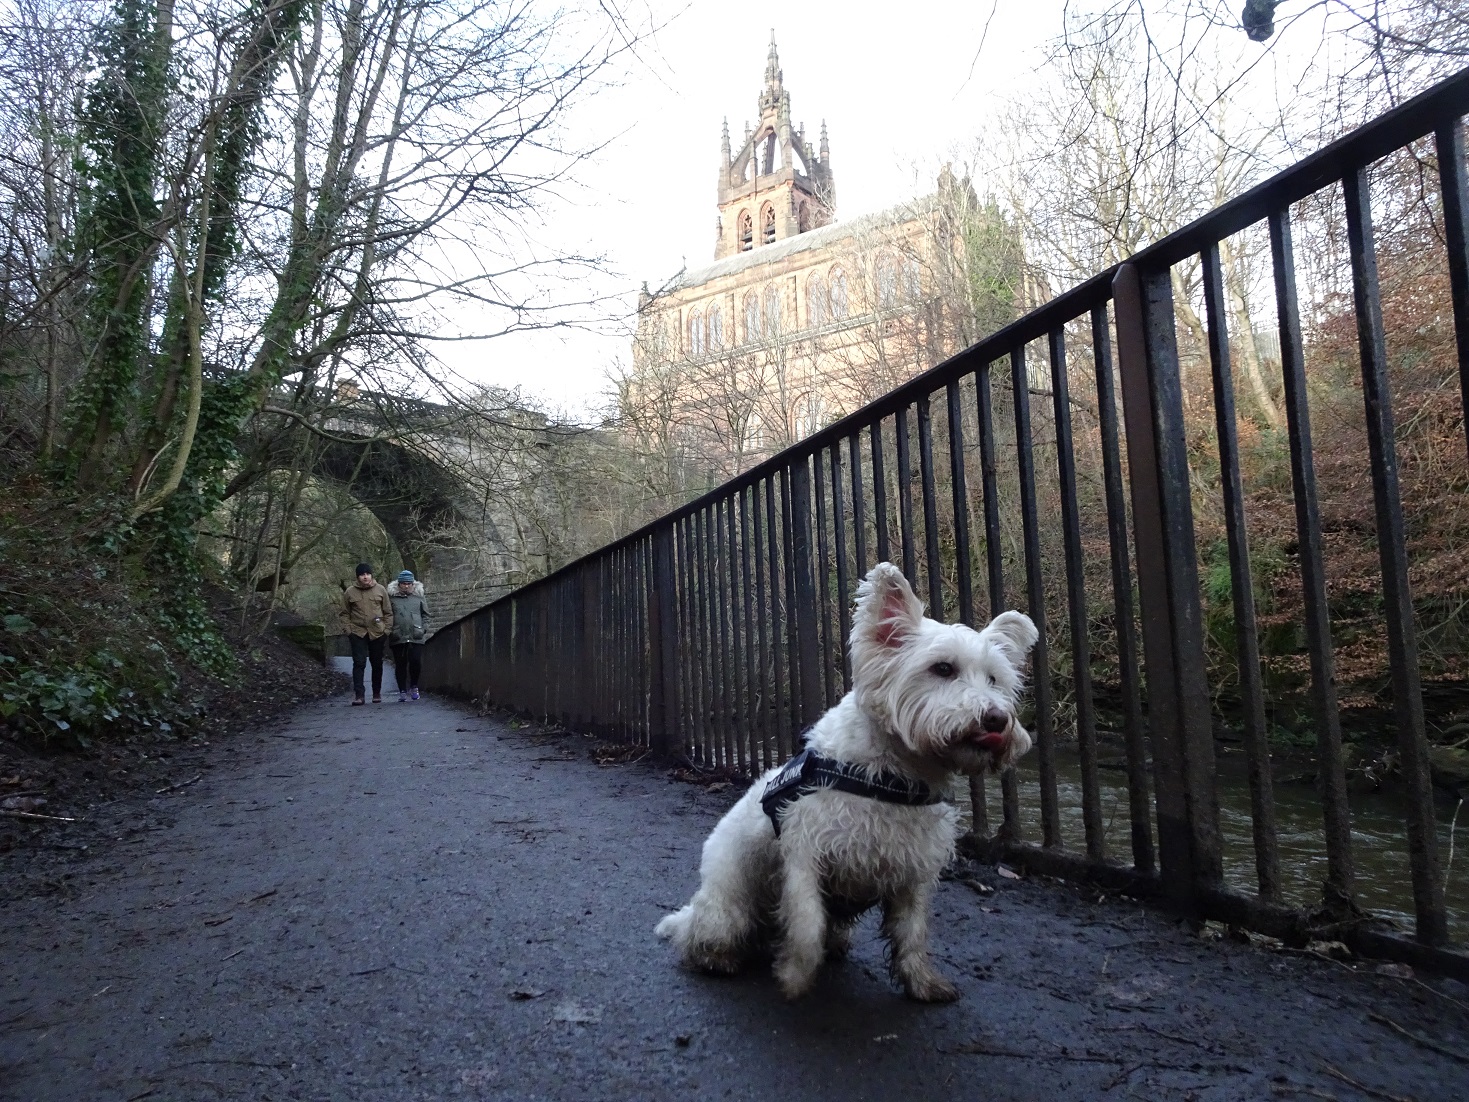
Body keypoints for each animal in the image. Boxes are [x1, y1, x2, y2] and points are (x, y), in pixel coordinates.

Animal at [655, 564, 1034, 1005]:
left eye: (994, 679)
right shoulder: (805, 855)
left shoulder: (914, 872)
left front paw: (924, 984)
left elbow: (912, 933)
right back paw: (719, 958)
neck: (891, 776)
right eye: (943, 668)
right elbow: (807, 926)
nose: (997, 720)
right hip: (726, 910)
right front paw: (794, 979)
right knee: (703, 935)